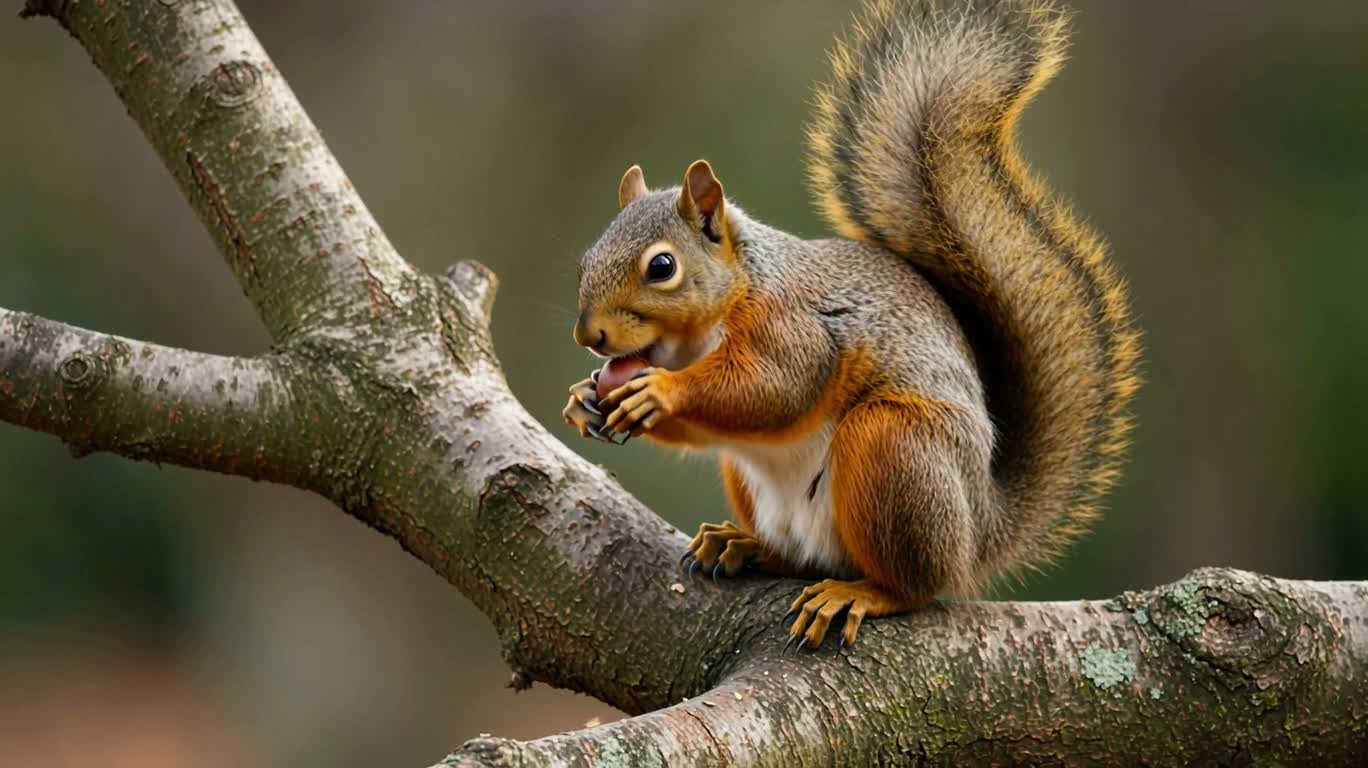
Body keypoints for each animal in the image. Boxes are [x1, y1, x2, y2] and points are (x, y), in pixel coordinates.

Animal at [562, 0, 1140, 650]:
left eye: (662, 267)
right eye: (586, 260)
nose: (589, 336)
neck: (704, 330)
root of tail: (979, 532)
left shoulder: (794, 325)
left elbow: (773, 389)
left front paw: (659, 392)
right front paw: (583, 398)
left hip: (895, 449)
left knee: (913, 587)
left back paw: (859, 593)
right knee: (799, 558)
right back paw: (743, 544)